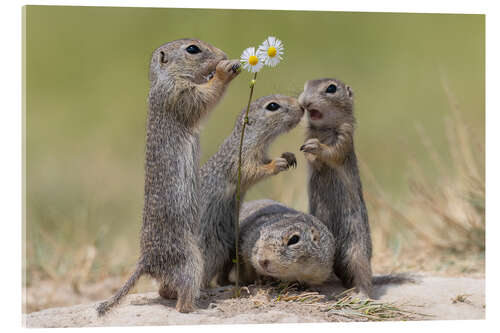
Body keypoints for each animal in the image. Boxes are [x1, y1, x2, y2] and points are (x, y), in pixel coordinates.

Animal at [96, 39, 241, 314]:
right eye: (193, 49)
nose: (224, 55)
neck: (166, 78)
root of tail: (147, 261)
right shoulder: (179, 95)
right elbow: (202, 99)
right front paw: (224, 70)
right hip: (191, 259)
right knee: (182, 300)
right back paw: (200, 307)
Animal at [198, 94, 300, 286]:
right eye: (272, 106)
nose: (302, 107)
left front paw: (289, 156)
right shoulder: (242, 160)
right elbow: (252, 171)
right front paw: (276, 164)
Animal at [298, 78, 374, 296]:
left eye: (331, 88)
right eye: (305, 86)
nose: (305, 101)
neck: (323, 129)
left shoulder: (344, 137)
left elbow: (333, 152)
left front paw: (316, 147)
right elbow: (312, 161)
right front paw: (308, 151)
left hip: (356, 251)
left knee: (364, 275)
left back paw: (361, 295)